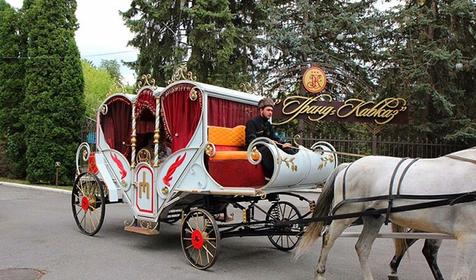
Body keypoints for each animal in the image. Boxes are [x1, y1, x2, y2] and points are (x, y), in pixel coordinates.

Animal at [298, 148, 476, 278]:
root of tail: (348, 165)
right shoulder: (468, 236)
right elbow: (461, 275)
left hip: (373, 218)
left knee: (362, 247)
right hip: (346, 215)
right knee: (328, 238)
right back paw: (320, 273)